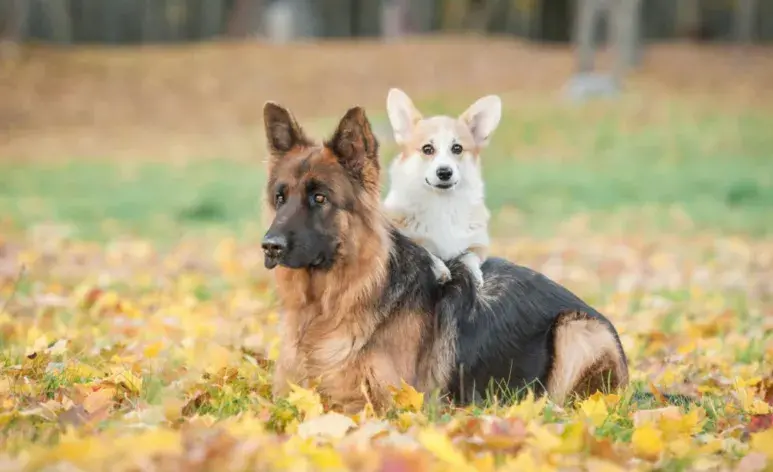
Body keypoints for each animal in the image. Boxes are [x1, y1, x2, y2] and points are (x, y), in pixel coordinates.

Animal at [380, 88, 500, 288]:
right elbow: (426, 251)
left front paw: (474, 275)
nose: (444, 172)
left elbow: (469, 256)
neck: (443, 203)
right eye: (427, 149)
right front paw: (440, 270)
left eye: (457, 148)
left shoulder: (479, 244)